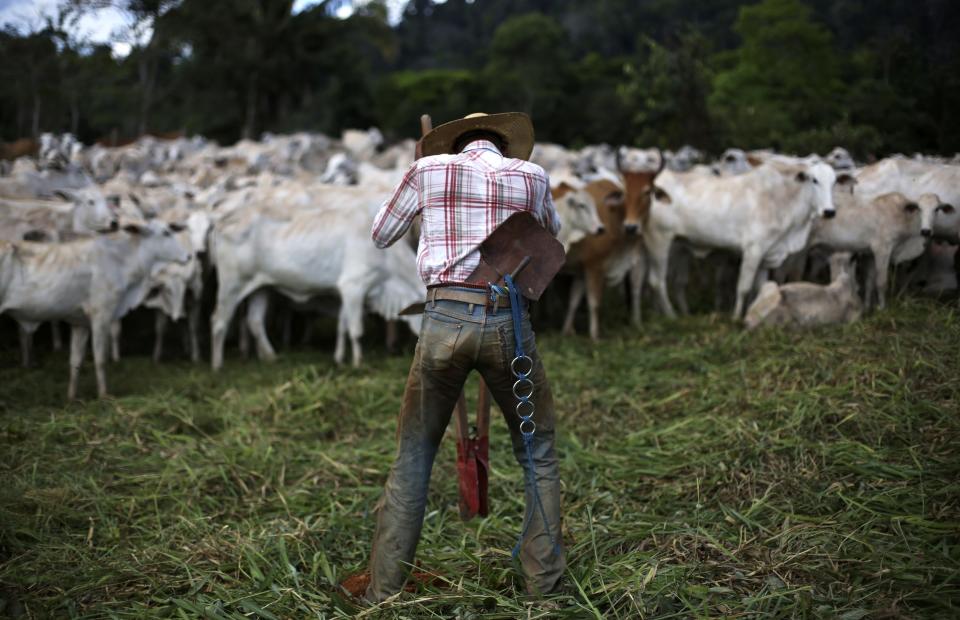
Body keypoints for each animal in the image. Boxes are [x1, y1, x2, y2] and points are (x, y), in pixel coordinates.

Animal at [0, 222, 191, 398]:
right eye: (166, 233)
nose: (188, 255)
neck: (120, 260)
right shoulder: (101, 316)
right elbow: (100, 359)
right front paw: (103, 396)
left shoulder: (80, 322)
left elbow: (75, 361)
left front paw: (71, 398)